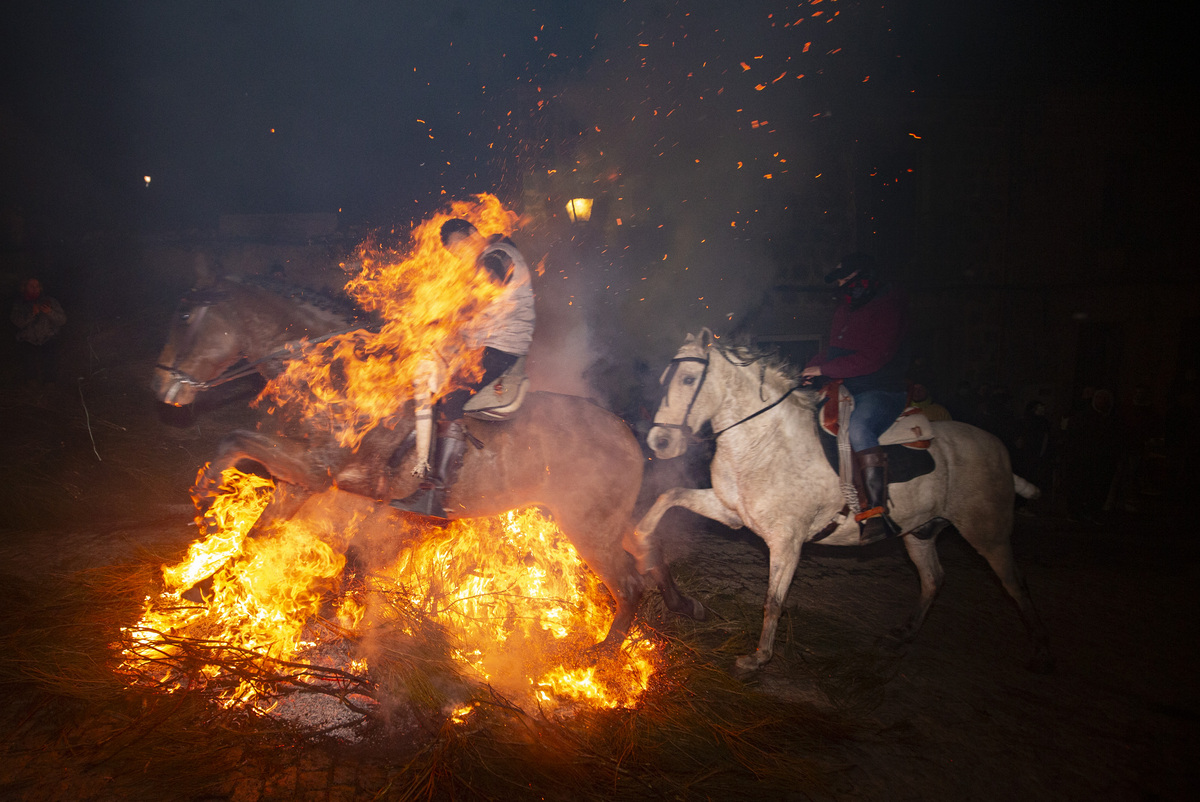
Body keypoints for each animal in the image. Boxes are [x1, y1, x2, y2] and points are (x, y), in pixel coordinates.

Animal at [150, 276, 700, 643]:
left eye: (185, 316)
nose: (161, 387)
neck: (337, 377)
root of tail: (627, 435)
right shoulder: (298, 481)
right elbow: (254, 535)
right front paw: (205, 588)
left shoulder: (312, 471)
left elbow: (235, 441)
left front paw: (205, 489)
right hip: (603, 522)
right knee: (646, 552)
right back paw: (669, 608)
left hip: (586, 527)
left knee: (629, 583)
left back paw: (598, 656)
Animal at [633, 328, 1056, 672]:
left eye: (689, 378)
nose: (659, 442)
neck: (766, 440)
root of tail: (997, 450)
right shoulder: (731, 511)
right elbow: (668, 497)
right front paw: (640, 548)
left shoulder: (786, 542)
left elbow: (774, 600)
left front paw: (757, 659)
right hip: (919, 533)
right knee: (933, 579)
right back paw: (903, 635)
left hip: (988, 533)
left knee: (1014, 582)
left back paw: (1040, 651)